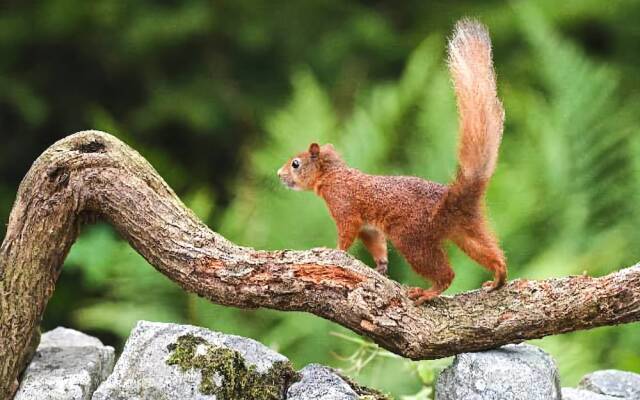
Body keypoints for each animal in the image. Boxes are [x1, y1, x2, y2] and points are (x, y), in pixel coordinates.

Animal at [278, 19, 508, 304]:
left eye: (295, 164)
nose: (278, 174)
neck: (332, 175)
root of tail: (450, 203)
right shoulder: (369, 227)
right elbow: (375, 243)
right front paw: (381, 265)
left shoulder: (344, 205)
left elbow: (346, 233)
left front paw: (336, 251)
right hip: (468, 232)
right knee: (492, 253)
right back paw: (498, 277)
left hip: (411, 238)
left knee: (446, 274)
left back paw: (427, 292)